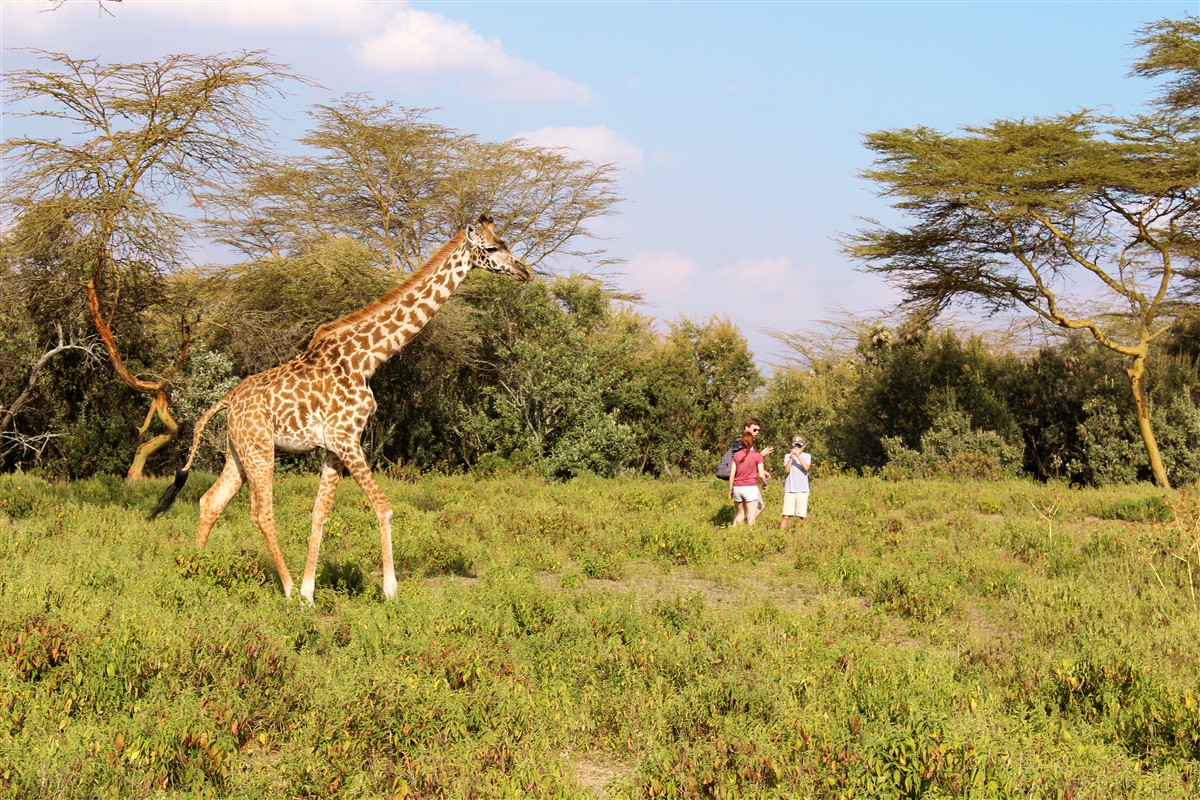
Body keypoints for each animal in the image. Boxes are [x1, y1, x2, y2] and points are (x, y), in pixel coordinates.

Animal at [148, 212, 530, 599]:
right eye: (492, 248)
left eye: (505, 243)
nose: (524, 271)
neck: (367, 359)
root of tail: (227, 399)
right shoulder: (347, 438)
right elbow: (383, 506)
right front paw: (388, 590)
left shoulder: (333, 446)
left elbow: (320, 513)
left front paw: (309, 591)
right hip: (260, 448)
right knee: (261, 512)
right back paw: (285, 589)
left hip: (238, 451)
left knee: (211, 500)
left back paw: (196, 571)